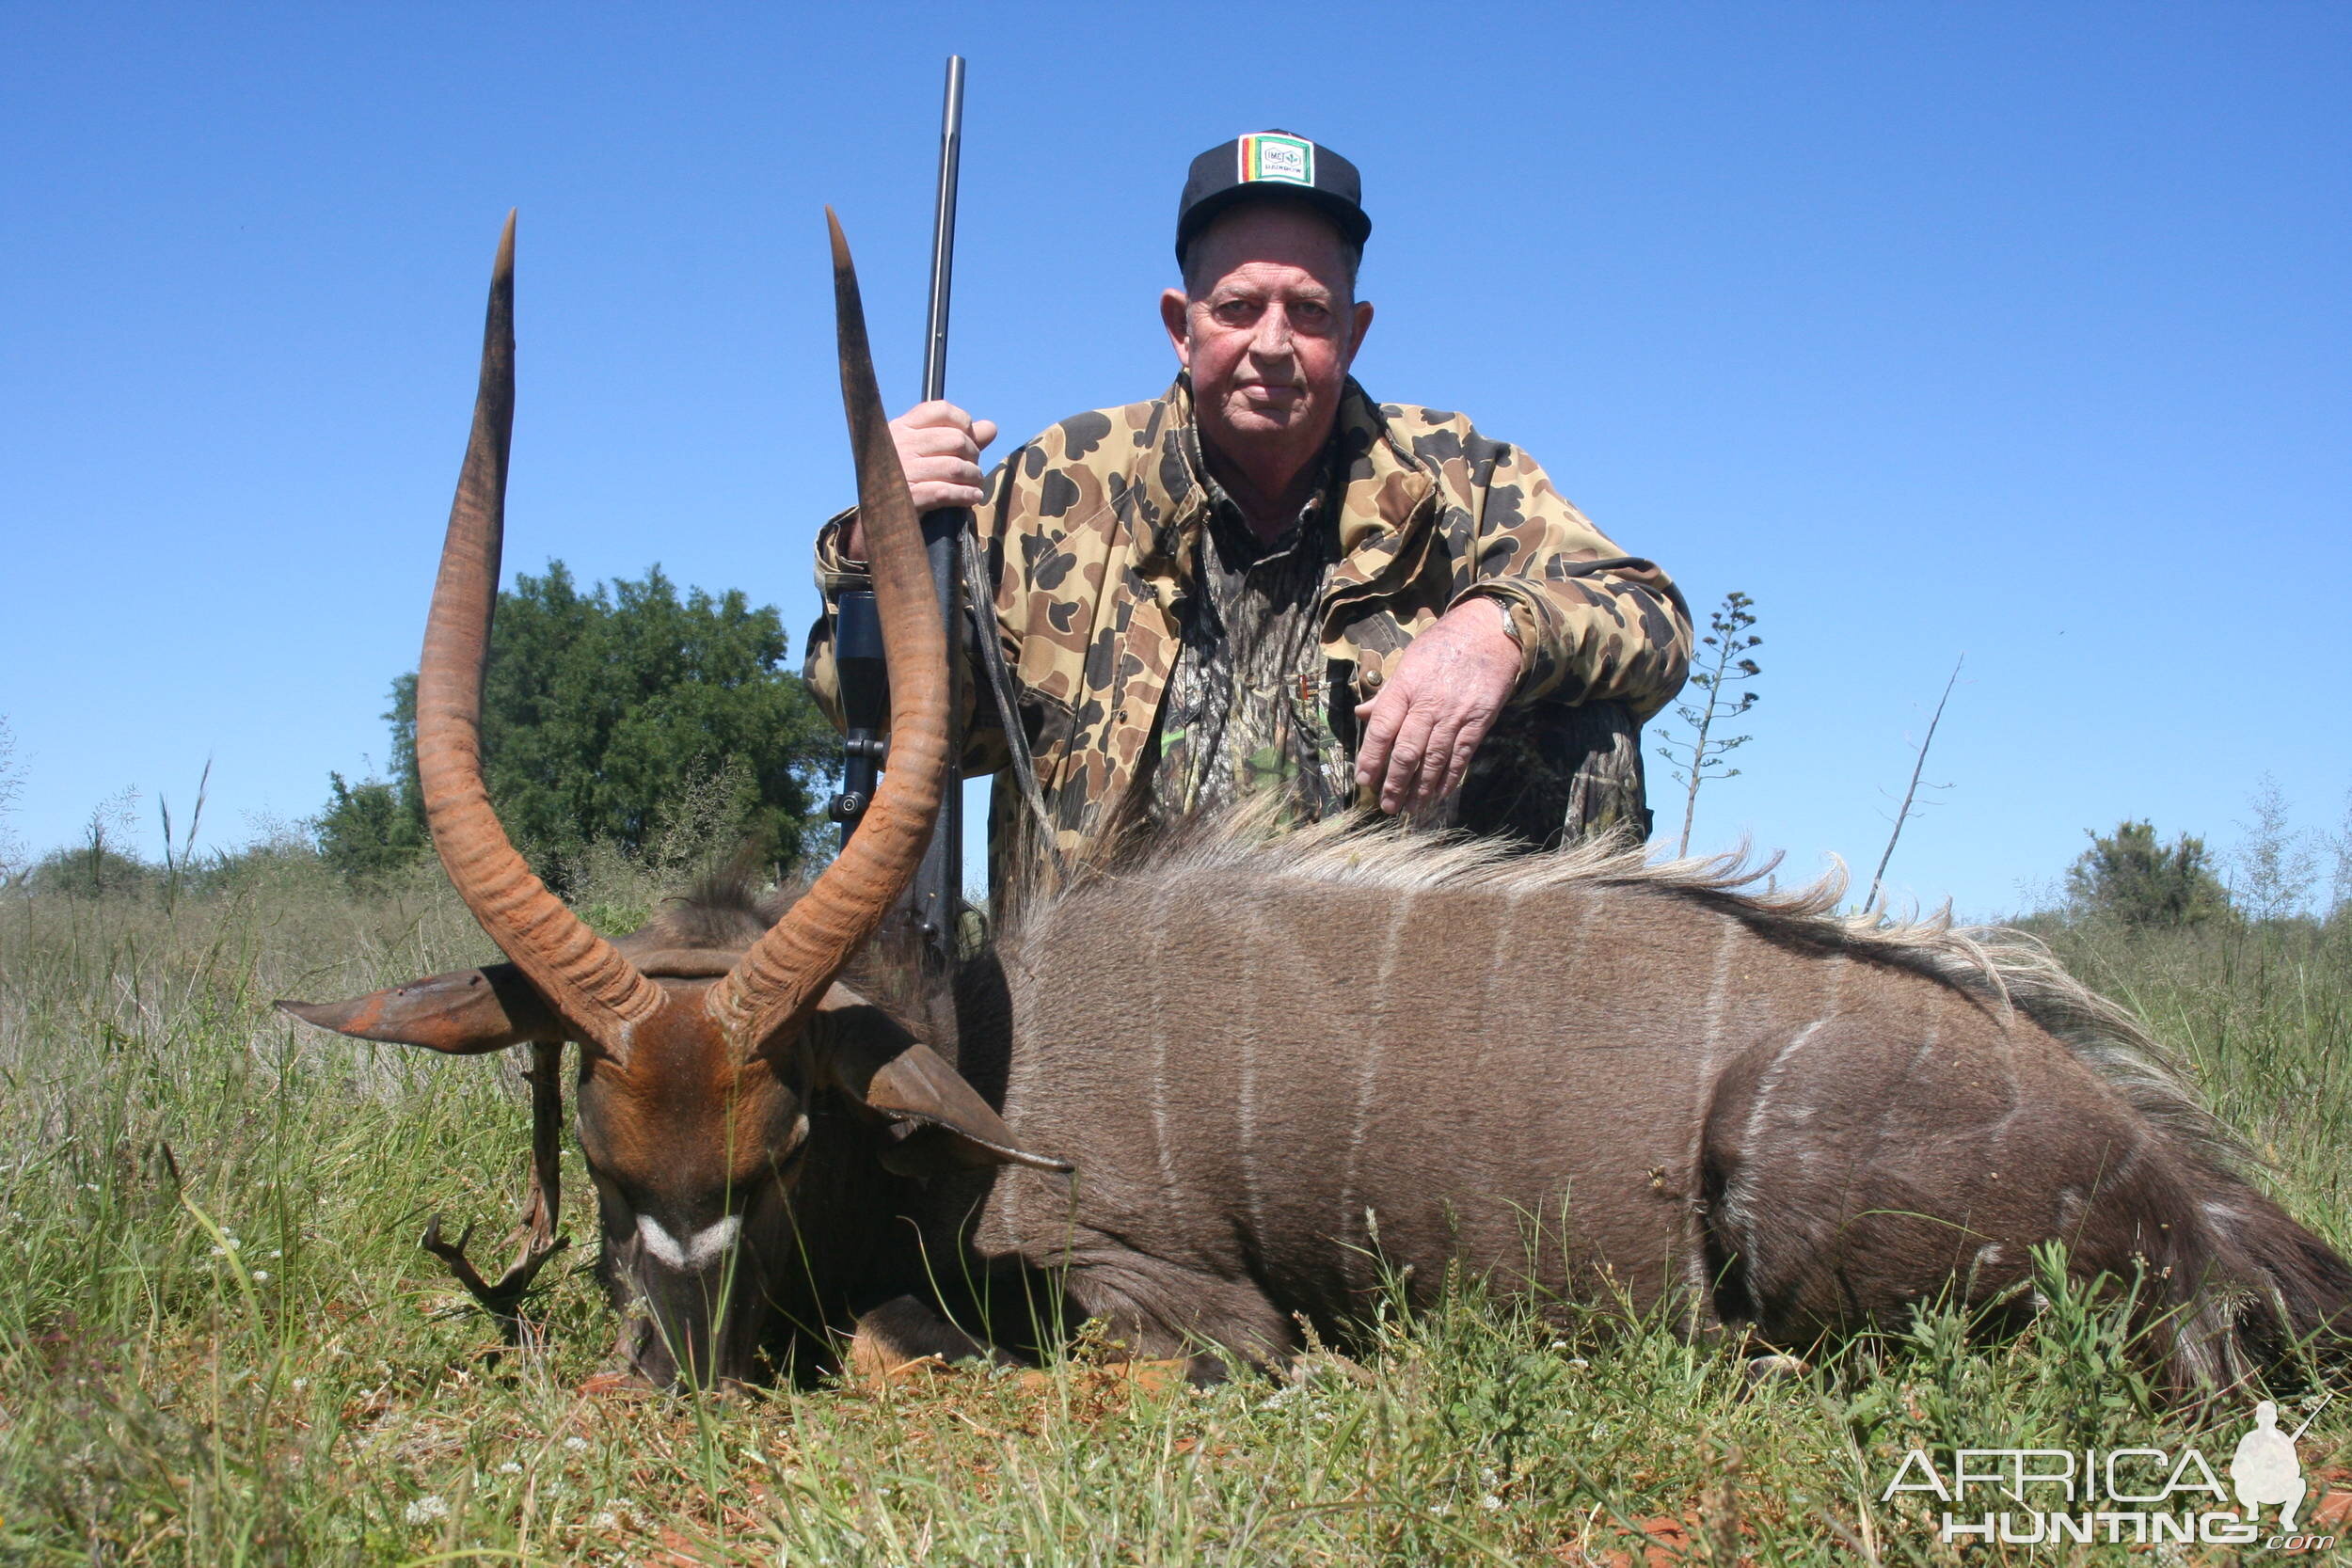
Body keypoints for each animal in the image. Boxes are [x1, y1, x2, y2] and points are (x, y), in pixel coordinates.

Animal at [289, 217, 2352, 1401]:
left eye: (783, 1136)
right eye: (595, 1139)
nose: (668, 1367)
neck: (981, 1051)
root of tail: (2215, 1205)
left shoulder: (1170, 1293)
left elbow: (939, 1346)